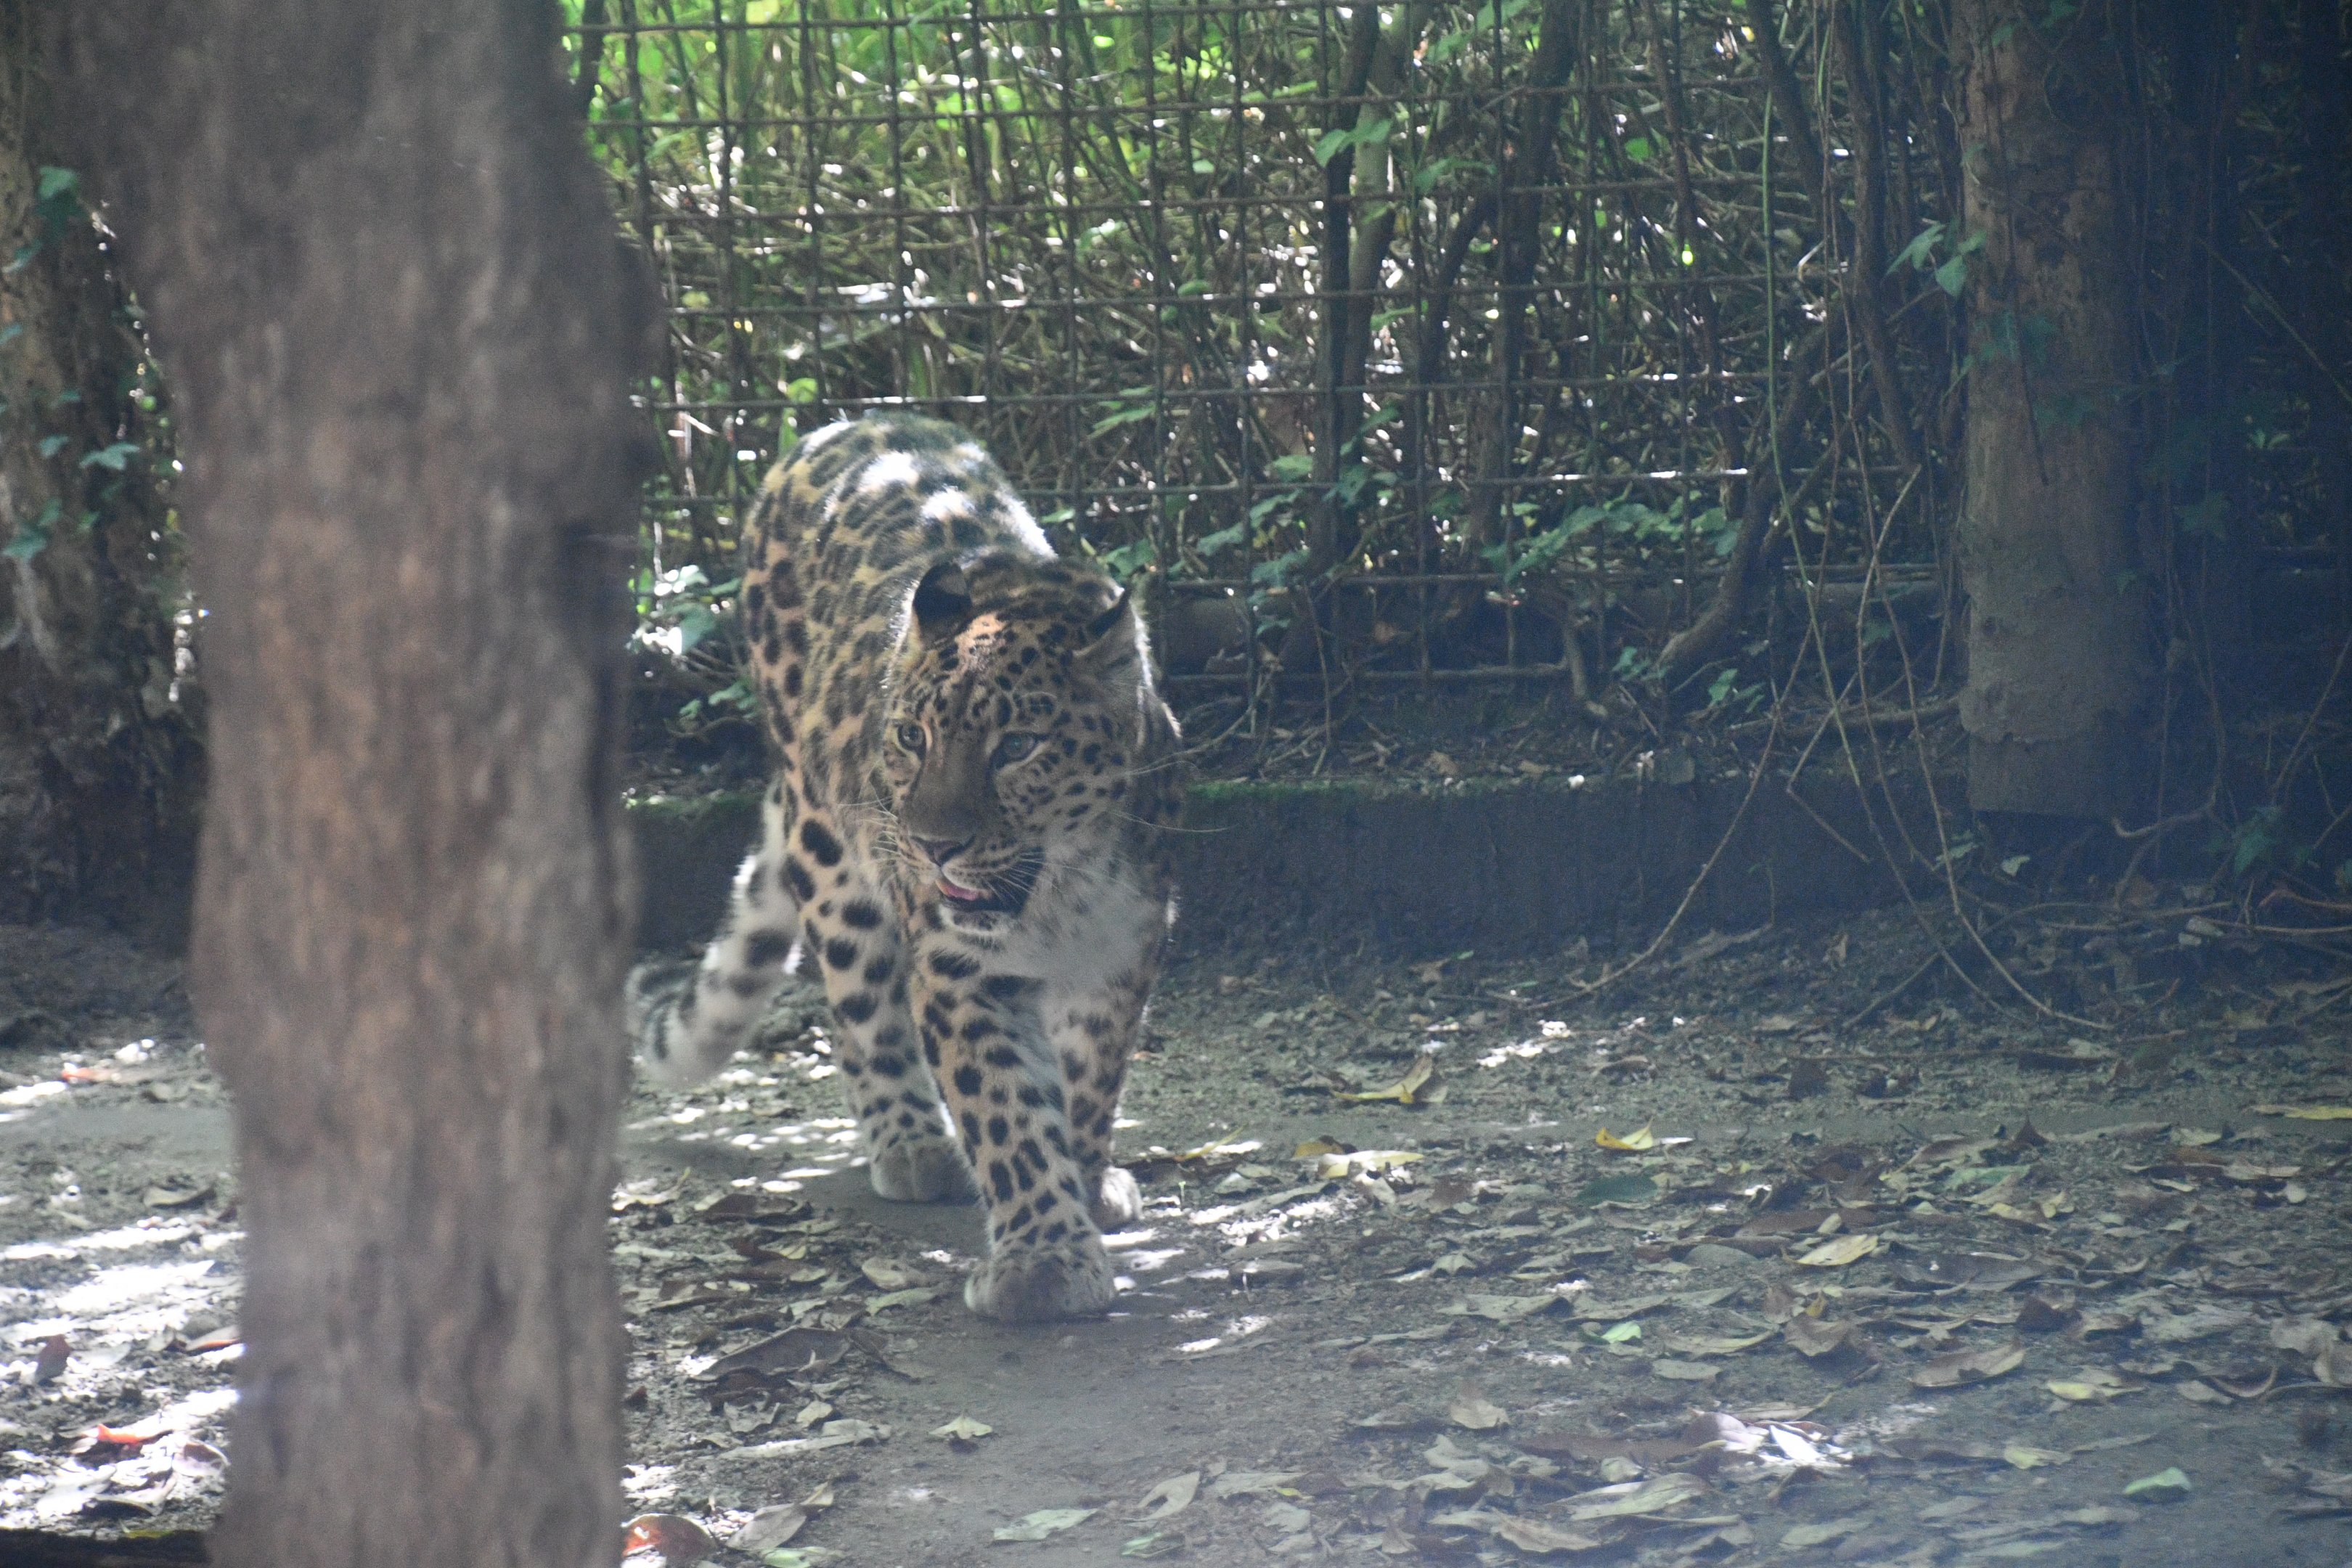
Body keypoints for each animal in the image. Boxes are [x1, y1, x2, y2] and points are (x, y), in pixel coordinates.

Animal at [632, 413, 1185, 1323]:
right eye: (910, 737)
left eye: (1018, 747)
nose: (933, 846)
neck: (1061, 895)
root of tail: (841, 425)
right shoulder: (959, 972)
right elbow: (1006, 1111)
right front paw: (1045, 1261)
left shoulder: (1122, 959)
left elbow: (1089, 1082)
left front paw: (1087, 1179)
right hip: (830, 854)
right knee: (860, 1005)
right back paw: (913, 1145)